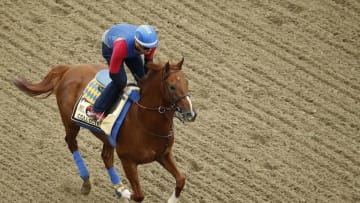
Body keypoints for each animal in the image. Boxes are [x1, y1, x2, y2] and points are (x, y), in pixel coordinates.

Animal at [13, 58, 197, 202]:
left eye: (187, 83)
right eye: (172, 87)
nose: (191, 114)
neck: (145, 120)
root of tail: (69, 69)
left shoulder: (163, 154)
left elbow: (181, 179)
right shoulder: (127, 160)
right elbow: (138, 195)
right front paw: (124, 192)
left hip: (107, 138)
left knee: (106, 156)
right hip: (70, 122)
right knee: (72, 143)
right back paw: (87, 182)